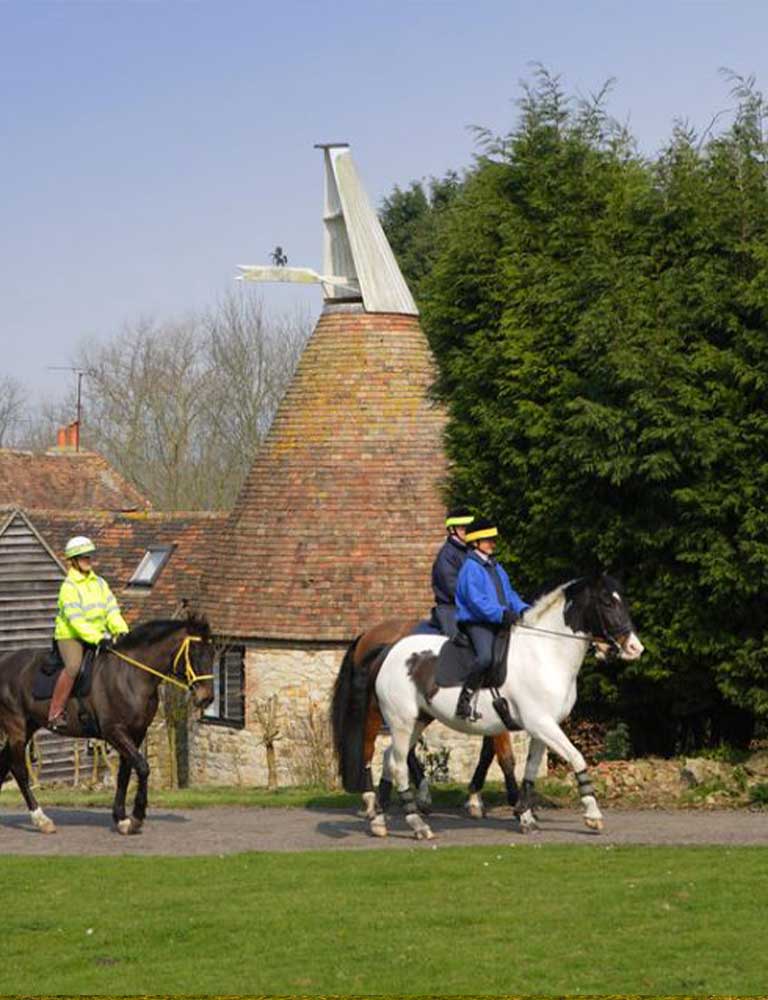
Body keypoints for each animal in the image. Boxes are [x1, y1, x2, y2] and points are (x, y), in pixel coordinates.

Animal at [0, 616, 215, 835]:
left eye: (213, 653)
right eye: (194, 652)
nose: (206, 698)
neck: (130, 675)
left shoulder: (136, 733)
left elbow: (124, 773)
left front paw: (122, 819)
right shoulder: (115, 732)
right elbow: (142, 768)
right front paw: (136, 817)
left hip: (29, 726)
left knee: (5, 762)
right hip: (17, 727)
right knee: (19, 769)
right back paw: (41, 820)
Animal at [333, 618, 523, 831]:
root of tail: (366, 636)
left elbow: (488, 753)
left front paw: (476, 798)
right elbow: (504, 757)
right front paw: (516, 804)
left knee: (402, 751)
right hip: (385, 712)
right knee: (382, 750)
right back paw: (383, 799)